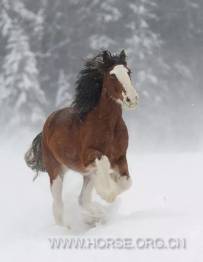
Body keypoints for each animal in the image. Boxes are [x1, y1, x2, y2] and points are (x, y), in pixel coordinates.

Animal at [24, 49, 138, 225]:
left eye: (128, 72)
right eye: (112, 75)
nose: (132, 99)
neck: (108, 126)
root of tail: (47, 125)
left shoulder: (120, 157)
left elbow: (126, 183)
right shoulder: (88, 156)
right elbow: (104, 164)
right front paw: (107, 193)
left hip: (85, 174)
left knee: (82, 199)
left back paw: (94, 216)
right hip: (55, 171)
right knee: (58, 206)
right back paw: (68, 227)